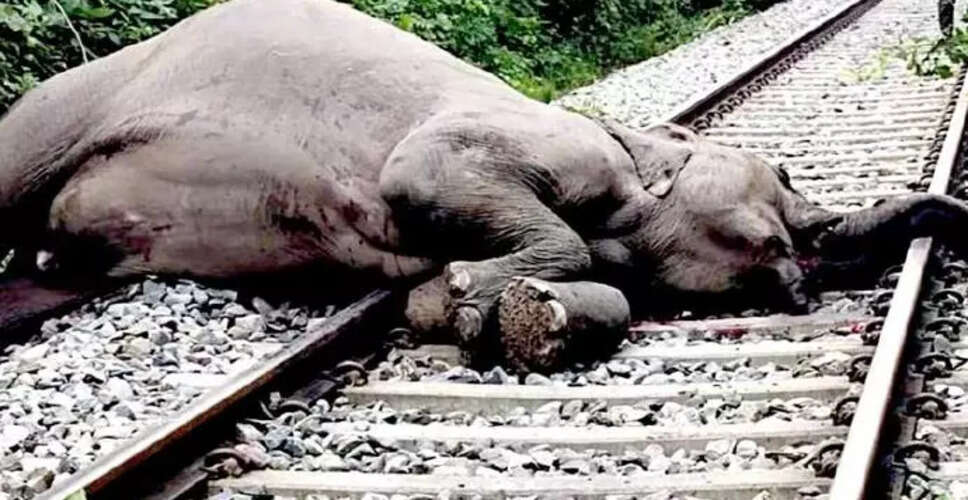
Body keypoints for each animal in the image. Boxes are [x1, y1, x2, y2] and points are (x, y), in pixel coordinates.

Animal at [1, 0, 966, 372]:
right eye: (788, 174)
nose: (802, 276)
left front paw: (477, 307)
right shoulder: (517, 143)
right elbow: (434, 175)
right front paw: (474, 292)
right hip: (63, 107)